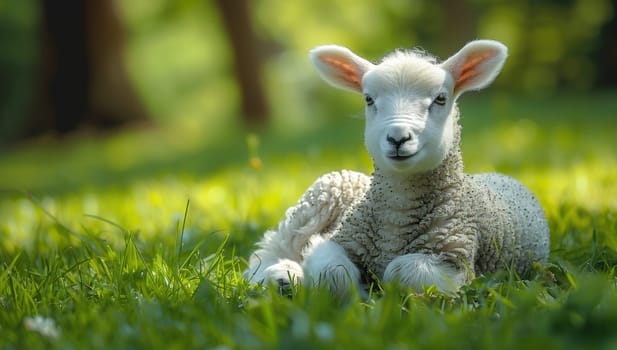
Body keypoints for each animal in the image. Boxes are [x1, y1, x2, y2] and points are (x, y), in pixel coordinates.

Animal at [243, 41, 552, 298]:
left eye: (441, 99)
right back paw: (280, 275)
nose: (398, 138)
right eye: (368, 99)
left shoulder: (455, 258)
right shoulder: (339, 240)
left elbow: (401, 272)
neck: (396, 214)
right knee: (271, 250)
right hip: (323, 194)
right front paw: (355, 292)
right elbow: (333, 272)